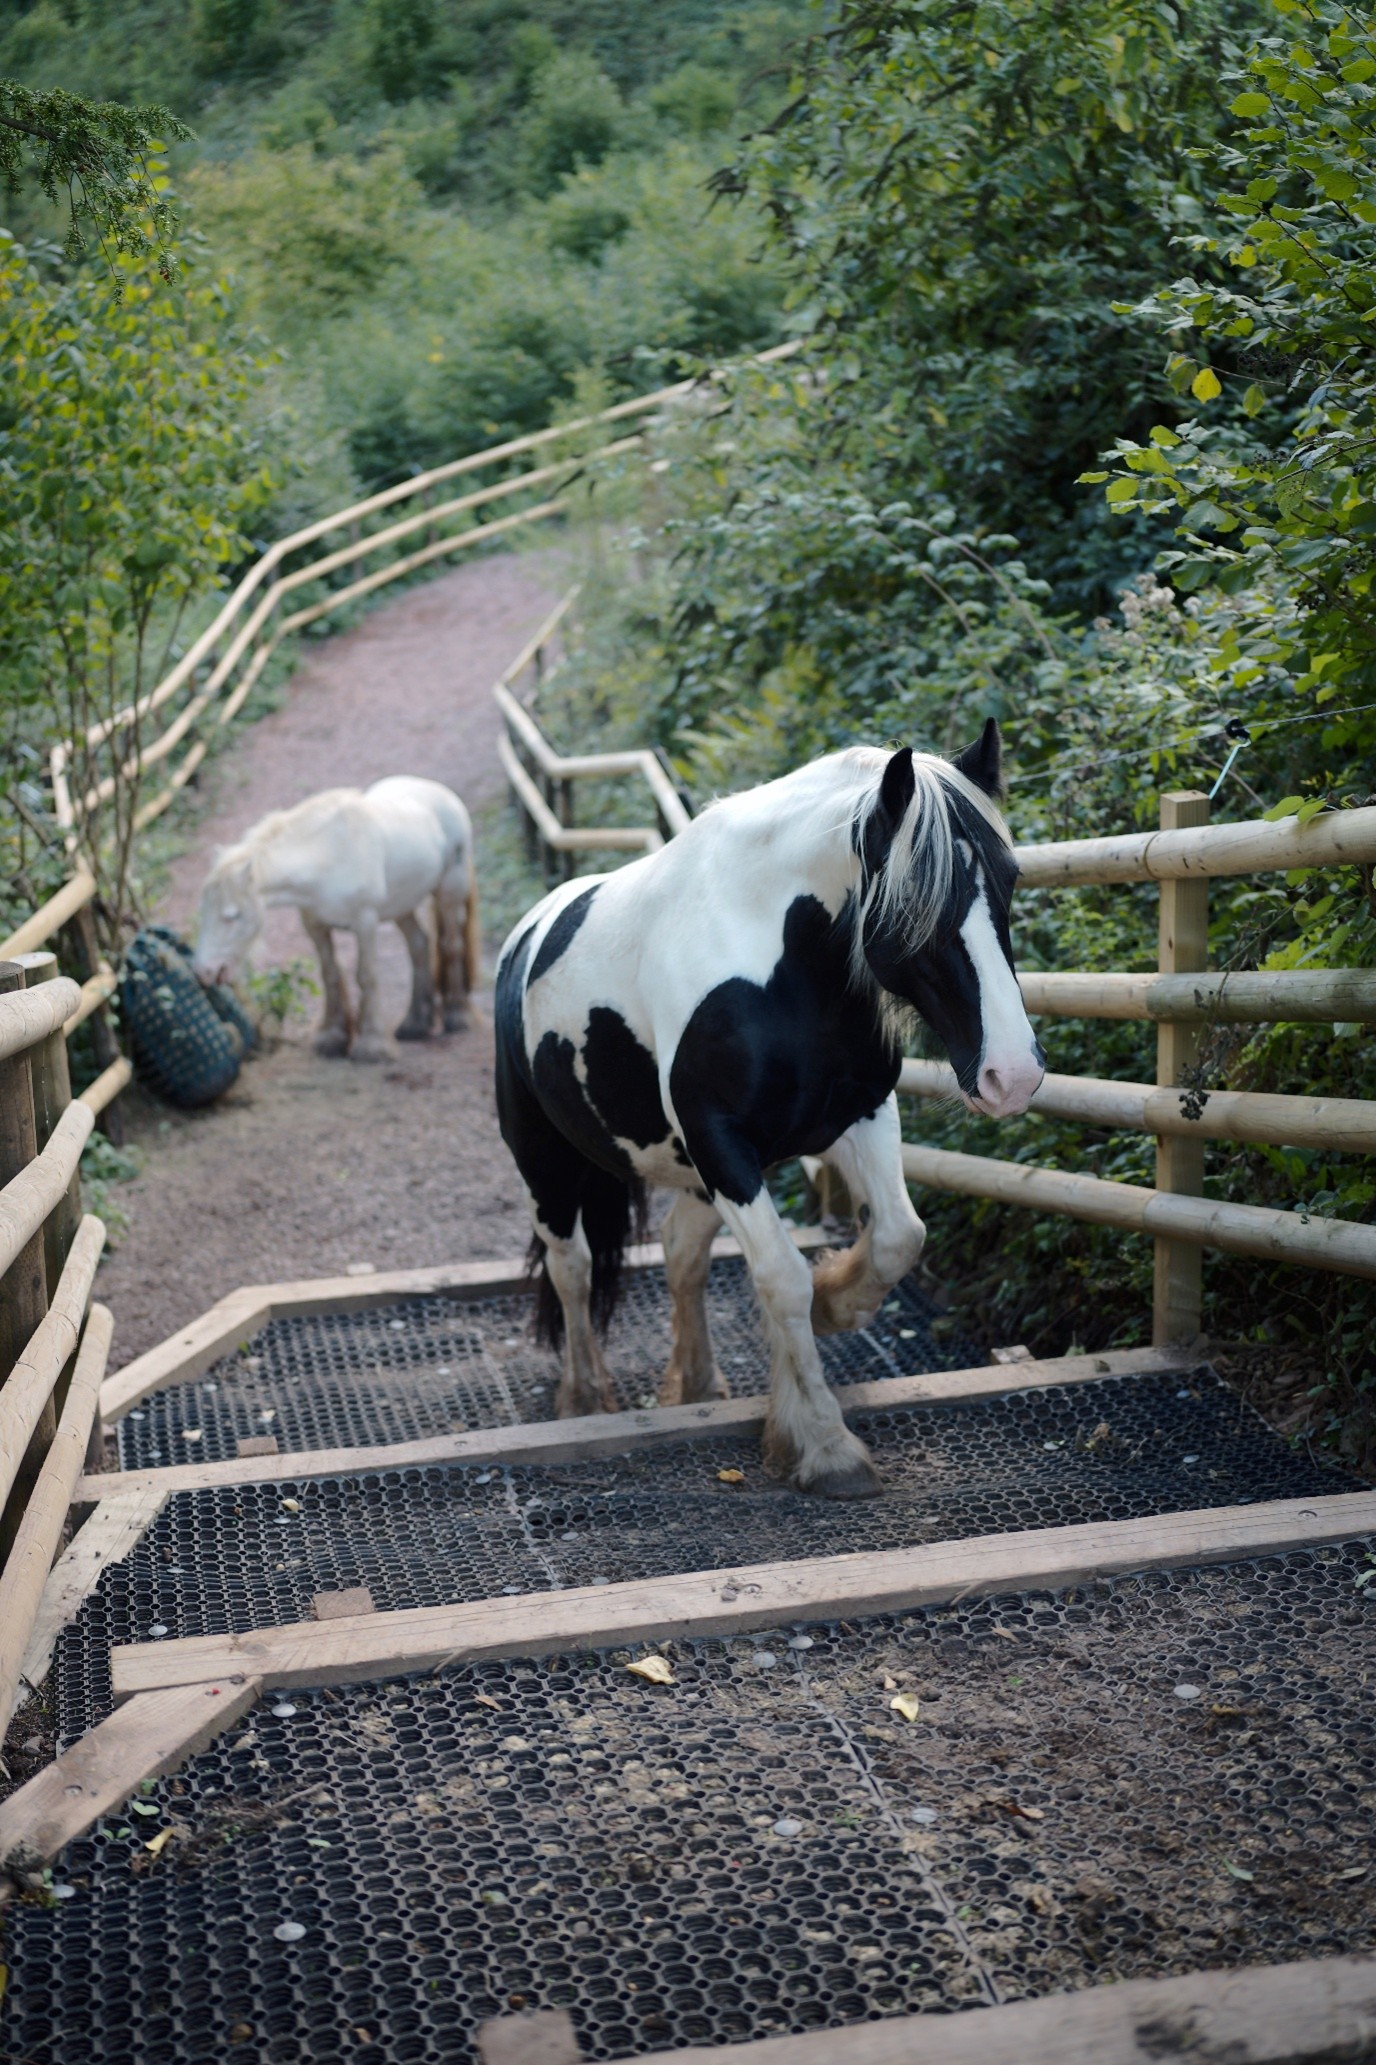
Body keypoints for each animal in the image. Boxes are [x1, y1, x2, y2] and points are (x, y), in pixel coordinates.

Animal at [192, 776, 480, 1061]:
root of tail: (441, 792)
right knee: (419, 945)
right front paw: (332, 1037)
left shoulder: (365, 921)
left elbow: (366, 975)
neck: (327, 854)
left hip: (449, 892)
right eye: (204, 911)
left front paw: (372, 1044)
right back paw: (414, 1024)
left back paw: (458, 1016)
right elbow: (329, 973)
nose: (203, 971)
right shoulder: (315, 926)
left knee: (451, 946)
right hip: (402, 906)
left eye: (232, 916)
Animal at [494, 721, 1045, 1499]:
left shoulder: (858, 1115)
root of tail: (529, 932)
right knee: (571, 1265)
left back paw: (696, 1382)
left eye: (1010, 878)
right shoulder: (724, 1146)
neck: (778, 968)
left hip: (690, 1172)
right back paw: (586, 1394)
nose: (1012, 1074)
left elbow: (900, 1234)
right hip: (547, 1162)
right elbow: (782, 1277)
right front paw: (825, 1444)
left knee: (680, 1252)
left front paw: (836, 1303)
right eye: (913, 902)